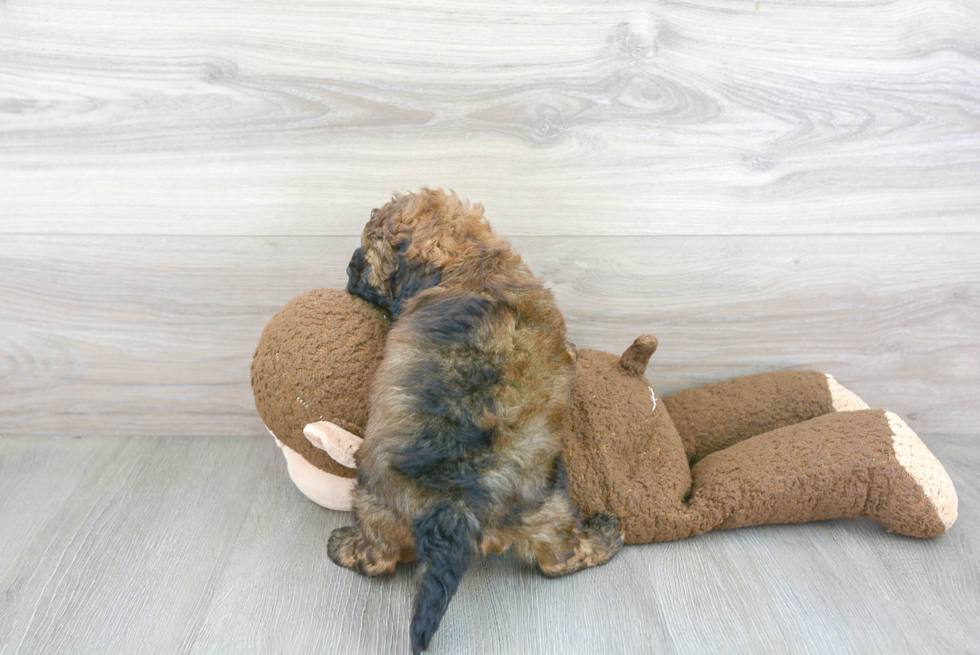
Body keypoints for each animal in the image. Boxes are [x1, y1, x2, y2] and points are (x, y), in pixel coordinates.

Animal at [330, 188, 620, 652]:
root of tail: (455, 506)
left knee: (379, 557)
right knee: (561, 559)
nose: (348, 270)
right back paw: (607, 536)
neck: (470, 261)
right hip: (546, 506)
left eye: (367, 254)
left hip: (378, 501)